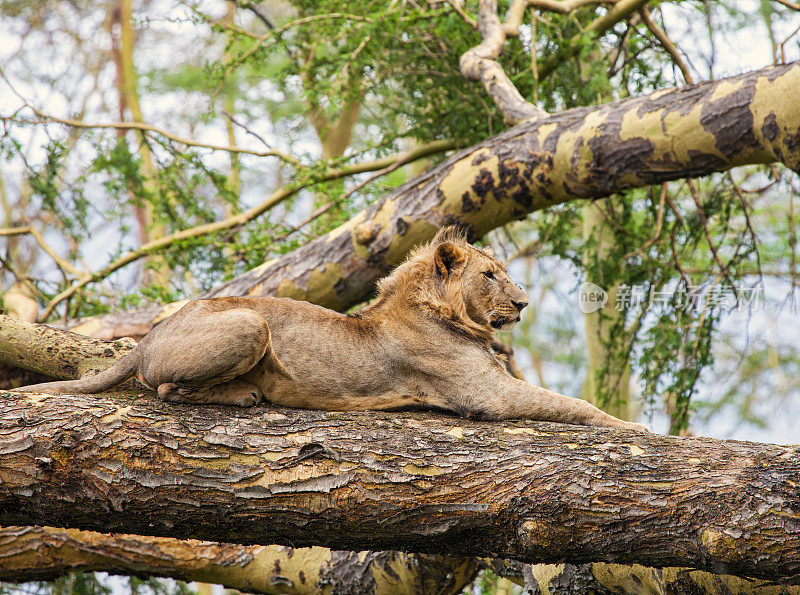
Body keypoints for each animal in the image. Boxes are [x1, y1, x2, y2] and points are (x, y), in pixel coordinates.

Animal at [17, 228, 648, 434]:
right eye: (491, 274)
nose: (521, 302)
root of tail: (149, 334)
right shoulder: (485, 394)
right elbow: (573, 404)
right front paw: (636, 427)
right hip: (249, 319)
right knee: (167, 388)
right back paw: (245, 395)